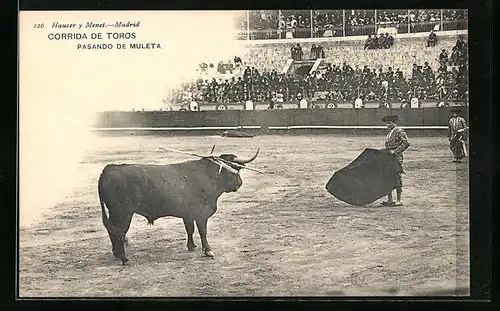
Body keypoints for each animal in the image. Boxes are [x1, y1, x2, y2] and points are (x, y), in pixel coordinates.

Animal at [99, 151, 260, 266]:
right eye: (235, 169)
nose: (240, 183)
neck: (209, 175)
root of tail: (109, 168)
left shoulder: (188, 214)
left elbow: (190, 229)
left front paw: (191, 246)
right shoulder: (201, 214)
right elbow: (203, 232)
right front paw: (208, 251)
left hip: (114, 213)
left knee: (112, 230)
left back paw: (116, 254)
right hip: (123, 213)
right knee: (119, 232)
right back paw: (124, 259)